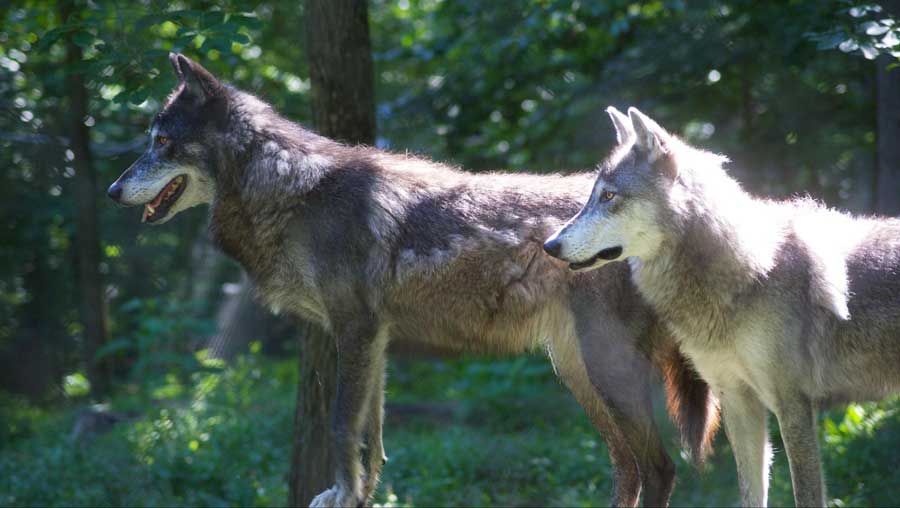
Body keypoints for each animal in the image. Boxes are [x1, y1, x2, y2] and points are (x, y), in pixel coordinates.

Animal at [108, 54, 718, 508]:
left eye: (162, 143)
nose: (113, 190)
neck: (292, 192)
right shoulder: (374, 340)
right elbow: (372, 439)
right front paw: (357, 496)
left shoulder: (354, 329)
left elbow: (340, 427)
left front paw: (343, 494)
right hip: (580, 373)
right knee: (628, 468)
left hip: (603, 371)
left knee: (659, 468)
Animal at [544, 106, 900, 507]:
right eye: (594, 195)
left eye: (608, 196)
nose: (549, 245)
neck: (750, 275)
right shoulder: (737, 401)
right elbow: (751, 494)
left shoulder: (793, 403)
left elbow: (805, 494)